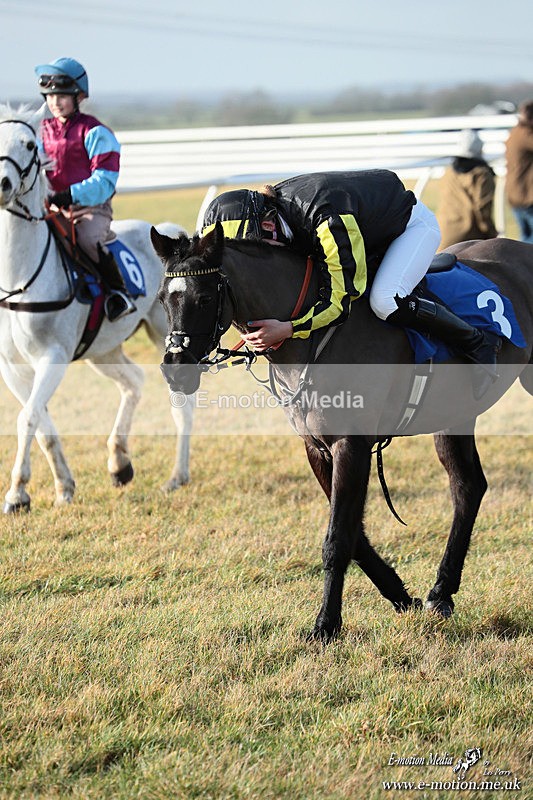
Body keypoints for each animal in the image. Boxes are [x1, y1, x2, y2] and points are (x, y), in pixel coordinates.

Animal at [0, 105, 194, 513]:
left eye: (29, 144)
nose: (2, 184)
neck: (19, 280)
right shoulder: (11, 367)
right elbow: (42, 423)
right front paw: (62, 486)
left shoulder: (53, 358)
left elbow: (28, 418)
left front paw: (16, 494)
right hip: (103, 350)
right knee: (134, 382)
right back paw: (119, 463)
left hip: (166, 338)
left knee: (181, 405)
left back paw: (176, 476)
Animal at [151, 220, 533, 642]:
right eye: (162, 299)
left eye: (204, 298)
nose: (175, 369)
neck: (312, 339)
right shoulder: (318, 447)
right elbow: (353, 534)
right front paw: (401, 595)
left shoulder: (352, 443)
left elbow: (337, 539)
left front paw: (325, 625)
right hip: (455, 415)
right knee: (468, 487)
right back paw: (441, 592)